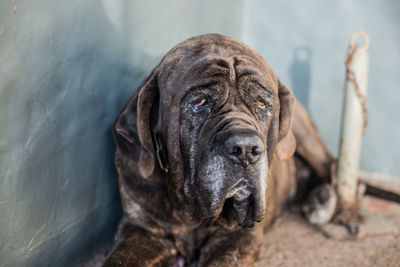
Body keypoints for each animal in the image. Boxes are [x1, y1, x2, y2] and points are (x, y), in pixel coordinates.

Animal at [102, 34, 332, 267]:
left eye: (261, 104)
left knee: (330, 166)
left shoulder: (238, 238)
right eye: (200, 102)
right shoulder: (142, 228)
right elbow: (119, 259)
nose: (245, 149)